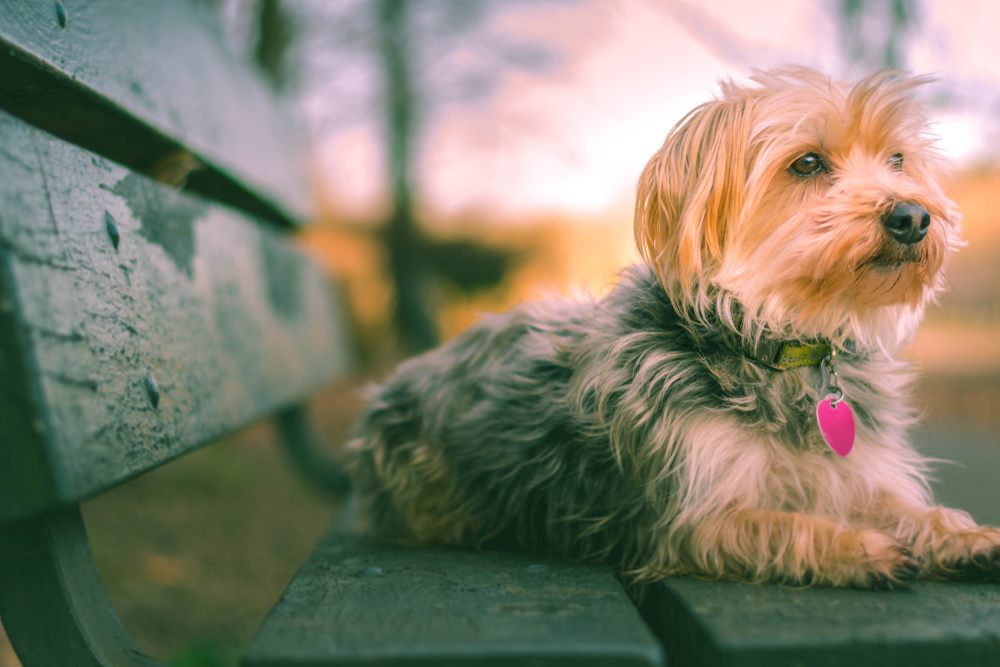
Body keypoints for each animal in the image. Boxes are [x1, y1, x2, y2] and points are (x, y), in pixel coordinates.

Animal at [348, 68, 996, 588]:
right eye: (808, 163)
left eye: (897, 161)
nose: (913, 215)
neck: (780, 345)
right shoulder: (690, 520)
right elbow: (785, 526)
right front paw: (857, 546)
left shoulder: (860, 476)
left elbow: (905, 510)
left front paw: (965, 537)